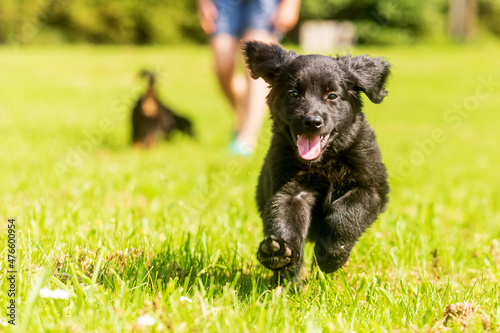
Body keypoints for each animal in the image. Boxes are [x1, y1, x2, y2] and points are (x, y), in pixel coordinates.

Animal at [244, 40, 392, 286]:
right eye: (293, 93)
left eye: (332, 96)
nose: (312, 122)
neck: (324, 162)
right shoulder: (290, 192)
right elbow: (285, 220)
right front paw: (279, 255)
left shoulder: (371, 188)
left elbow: (345, 214)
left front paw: (330, 256)